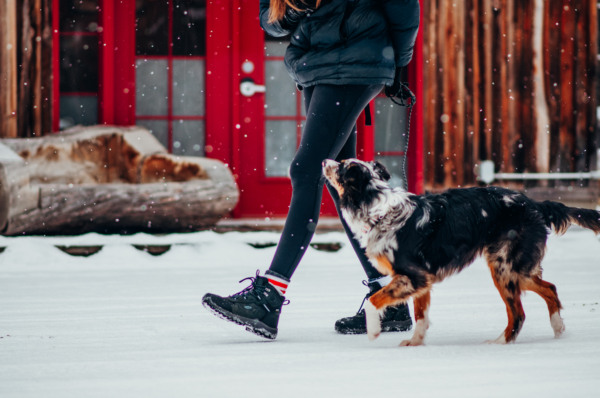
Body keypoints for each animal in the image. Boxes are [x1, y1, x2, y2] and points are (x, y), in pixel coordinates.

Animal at [324, 159, 600, 346]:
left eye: (342, 166)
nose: (326, 160)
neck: (378, 210)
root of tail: (533, 203)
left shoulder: (413, 276)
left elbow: (374, 301)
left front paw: (373, 331)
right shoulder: (422, 280)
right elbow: (421, 316)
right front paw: (415, 344)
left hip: (504, 268)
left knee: (519, 313)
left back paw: (500, 343)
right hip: (517, 270)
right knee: (550, 288)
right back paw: (558, 329)